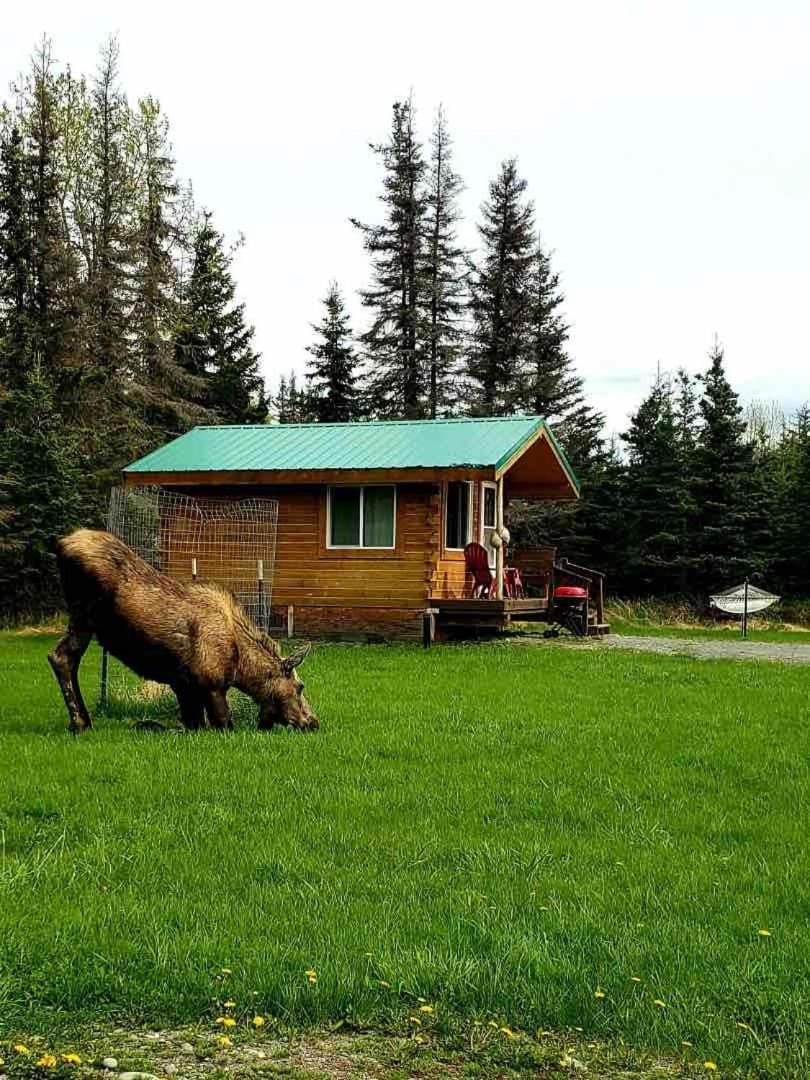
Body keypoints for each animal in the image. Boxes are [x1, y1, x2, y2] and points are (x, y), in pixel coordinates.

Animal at [48, 529, 319, 734]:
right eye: (300, 686)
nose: (313, 722)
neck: (241, 666)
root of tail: (61, 544)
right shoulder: (211, 685)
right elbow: (224, 724)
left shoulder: (183, 686)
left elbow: (191, 724)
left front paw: (149, 725)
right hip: (84, 615)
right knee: (61, 656)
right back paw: (81, 723)